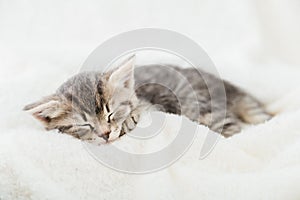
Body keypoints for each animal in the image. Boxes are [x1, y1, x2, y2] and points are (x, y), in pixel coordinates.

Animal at [24, 55, 272, 145]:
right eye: (85, 124)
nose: (105, 133)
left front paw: (127, 122)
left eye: (111, 113)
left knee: (232, 129)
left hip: (199, 106)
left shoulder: (155, 104)